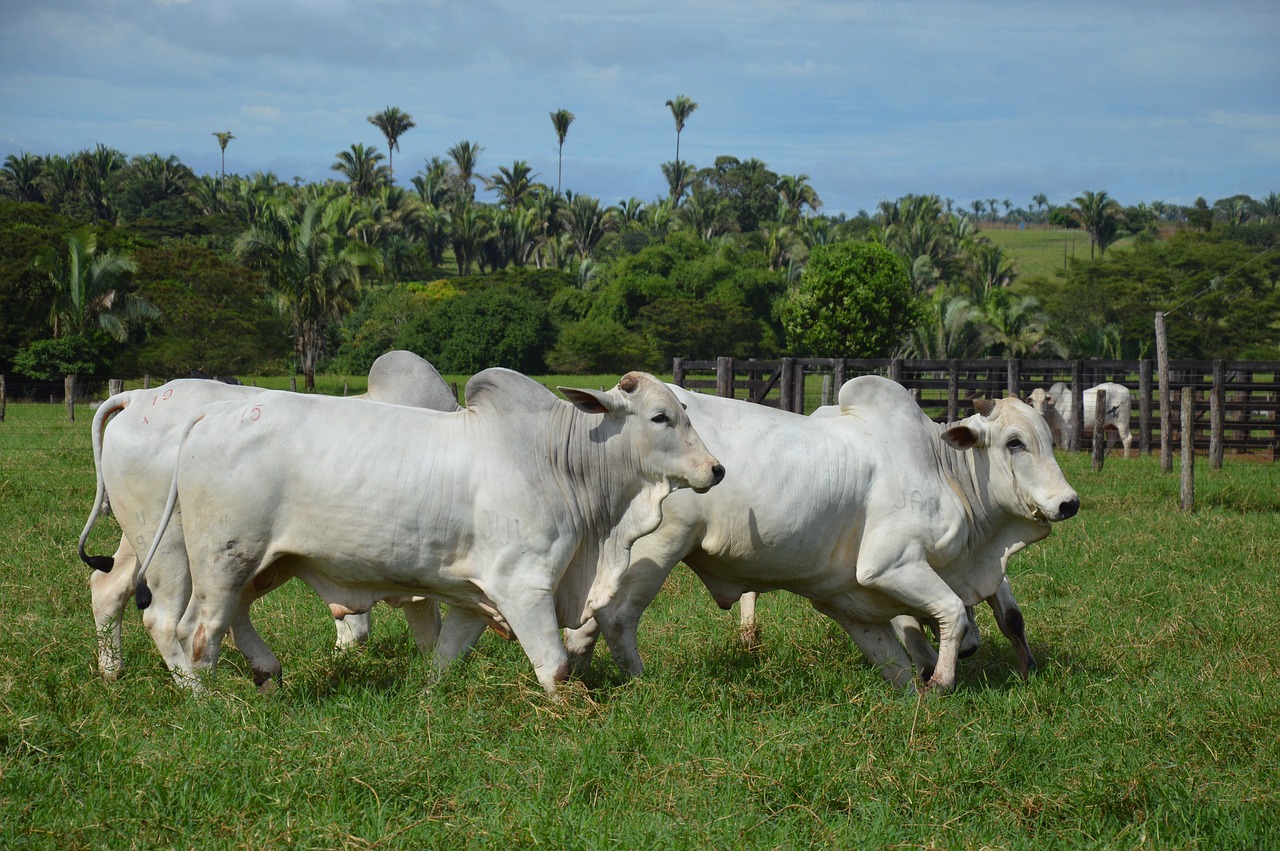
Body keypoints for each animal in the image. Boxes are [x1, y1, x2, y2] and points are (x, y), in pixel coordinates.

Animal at [80, 348, 460, 680]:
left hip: (144, 532)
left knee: (109, 586)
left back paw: (112, 671)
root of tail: (138, 398)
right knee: (163, 618)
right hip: (174, 547)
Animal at [141, 368, 727, 696]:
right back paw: (206, 701)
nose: (716, 470)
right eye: (660, 417)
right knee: (193, 630)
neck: (557, 461)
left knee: (229, 616)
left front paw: (427, 697)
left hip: (265, 562)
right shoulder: (524, 584)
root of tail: (217, 413)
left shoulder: (476, 595)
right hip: (223, 558)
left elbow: (446, 658)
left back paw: (265, 673)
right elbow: (555, 668)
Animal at [565, 376, 1075, 691]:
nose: (1068, 502)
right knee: (616, 617)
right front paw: (943, 682)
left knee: (587, 621)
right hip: (658, 547)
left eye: (1049, 439)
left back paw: (576, 678)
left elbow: (904, 660)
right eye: (1014, 442)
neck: (945, 469)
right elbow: (953, 612)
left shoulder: (849, 600)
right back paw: (638, 681)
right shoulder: (890, 564)